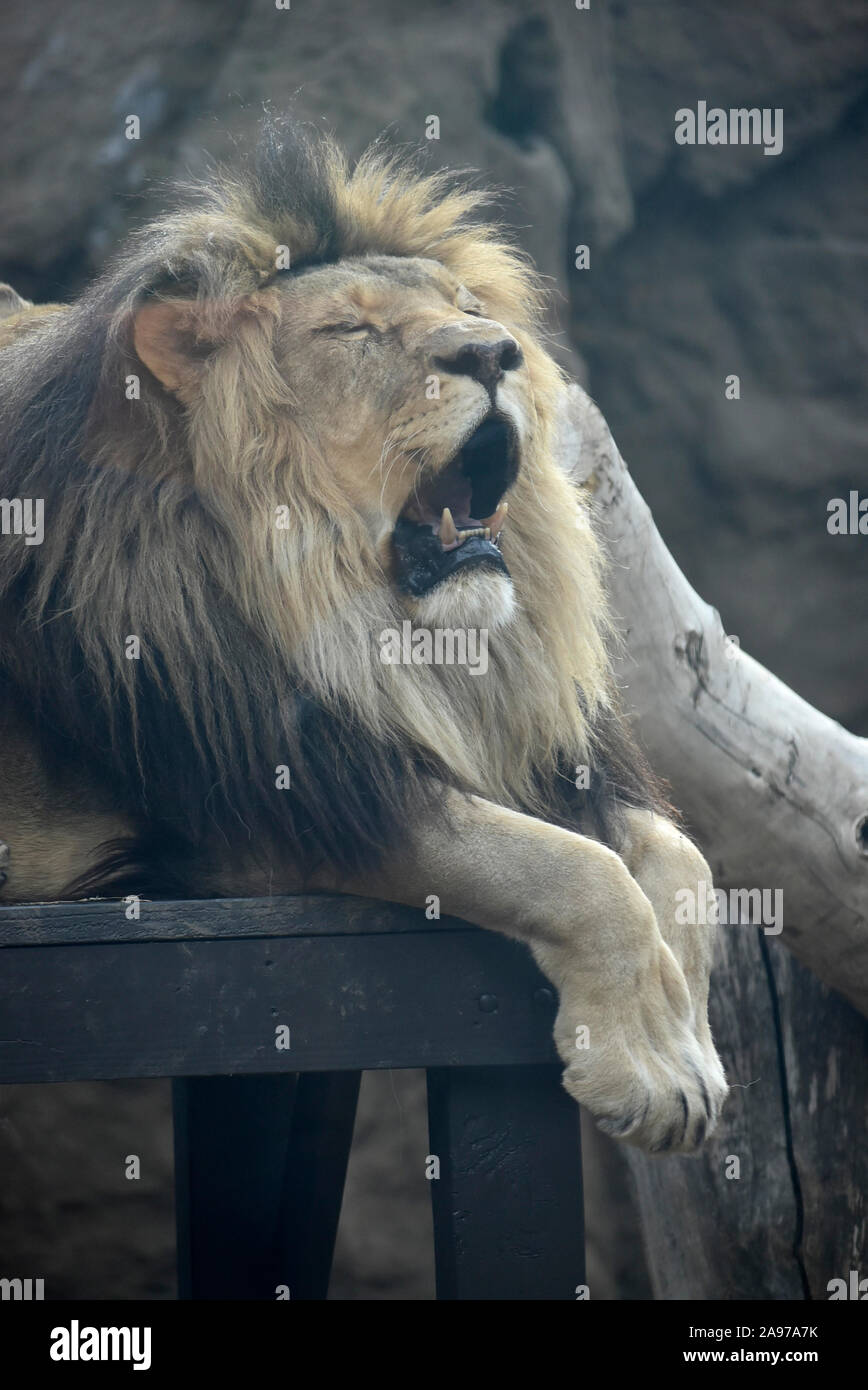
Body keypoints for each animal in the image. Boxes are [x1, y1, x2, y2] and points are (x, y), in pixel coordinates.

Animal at [0, 119, 727, 1153]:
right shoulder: (271, 810)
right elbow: (570, 867)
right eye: (350, 332)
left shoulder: (534, 754)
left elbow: (680, 859)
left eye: (469, 307)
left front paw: (691, 1051)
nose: (495, 353)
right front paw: (652, 1070)